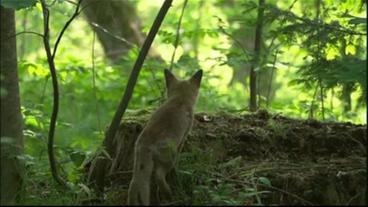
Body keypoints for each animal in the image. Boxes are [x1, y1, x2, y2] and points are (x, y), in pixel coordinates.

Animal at [126, 68, 201, 205]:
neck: (180, 99)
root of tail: (146, 143)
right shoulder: (184, 134)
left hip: (139, 167)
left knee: (133, 185)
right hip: (169, 158)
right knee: (159, 176)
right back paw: (168, 194)